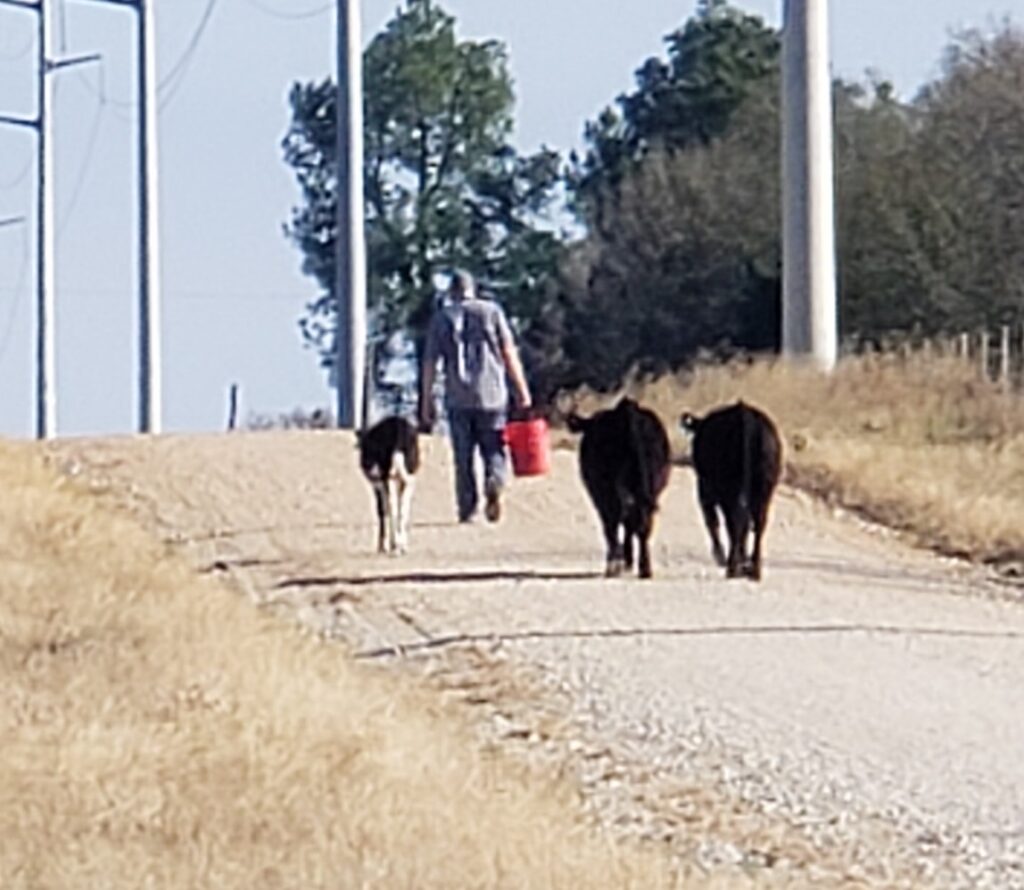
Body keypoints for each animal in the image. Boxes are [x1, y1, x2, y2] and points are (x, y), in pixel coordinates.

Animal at [356, 415, 419, 553]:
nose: (369, 469)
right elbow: (400, 508)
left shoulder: (378, 484)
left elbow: (382, 510)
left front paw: (383, 545)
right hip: (407, 475)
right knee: (403, 508)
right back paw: (401, 546)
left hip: (387, 478)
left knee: (391, 507)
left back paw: (394, 545)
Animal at [565, 395, 667, 577]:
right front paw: (628, 560)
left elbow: (612, 525)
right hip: (650, 487)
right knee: (642, 522)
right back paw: (644, 568)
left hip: (608, 491)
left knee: (615, 520)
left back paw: (615, 564)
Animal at [684, 399, 778, 581]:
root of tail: (744, 413)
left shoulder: (704, 491)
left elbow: (712, 521)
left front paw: (720, 556)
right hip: (763, 491)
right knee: (758, 523)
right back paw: (754, 570)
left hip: (727, 491)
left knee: (734, 521)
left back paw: (732, 567)